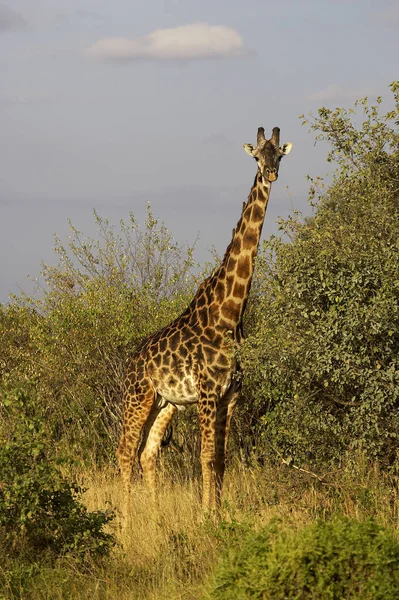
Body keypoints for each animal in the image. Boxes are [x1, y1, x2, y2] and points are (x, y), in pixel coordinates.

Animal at [119, 126, 294, 510]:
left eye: (279, 155)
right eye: (256, 156)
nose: (271, 173)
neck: (229, 314)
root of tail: (129, 363)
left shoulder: (231, 396)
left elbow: (222, 459)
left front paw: (219, 514)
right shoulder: (208, 392)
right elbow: (206, 456)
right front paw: (204, 515)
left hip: (165, 403)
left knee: (148, 453)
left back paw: (156, 517)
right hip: (137, 399)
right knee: (124, 453)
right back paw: (124, 520)